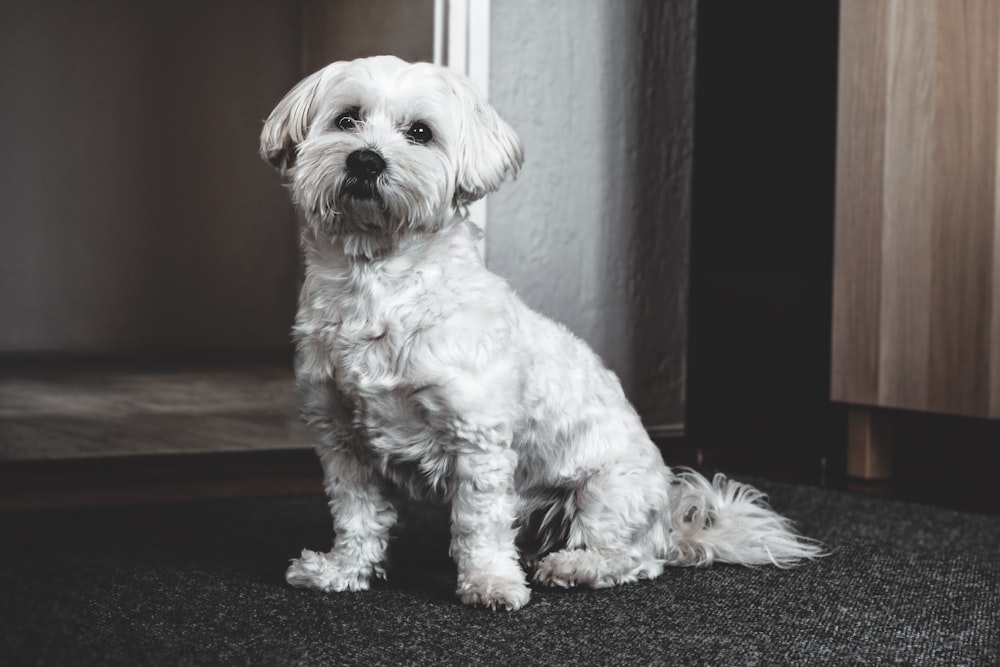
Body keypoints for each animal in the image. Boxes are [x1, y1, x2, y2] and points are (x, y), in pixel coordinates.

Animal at [260, 56, 820, 612]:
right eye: (346, 119)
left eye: (420, 132)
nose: (365, 161)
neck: (380, 284)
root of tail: (669, 527)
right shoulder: (340, 438)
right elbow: (357, 514)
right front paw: (343, 571)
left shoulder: (478, 440)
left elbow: (478, 525)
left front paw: (490, 583)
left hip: (606, 491)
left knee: (633, 560)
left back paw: (574, 566)